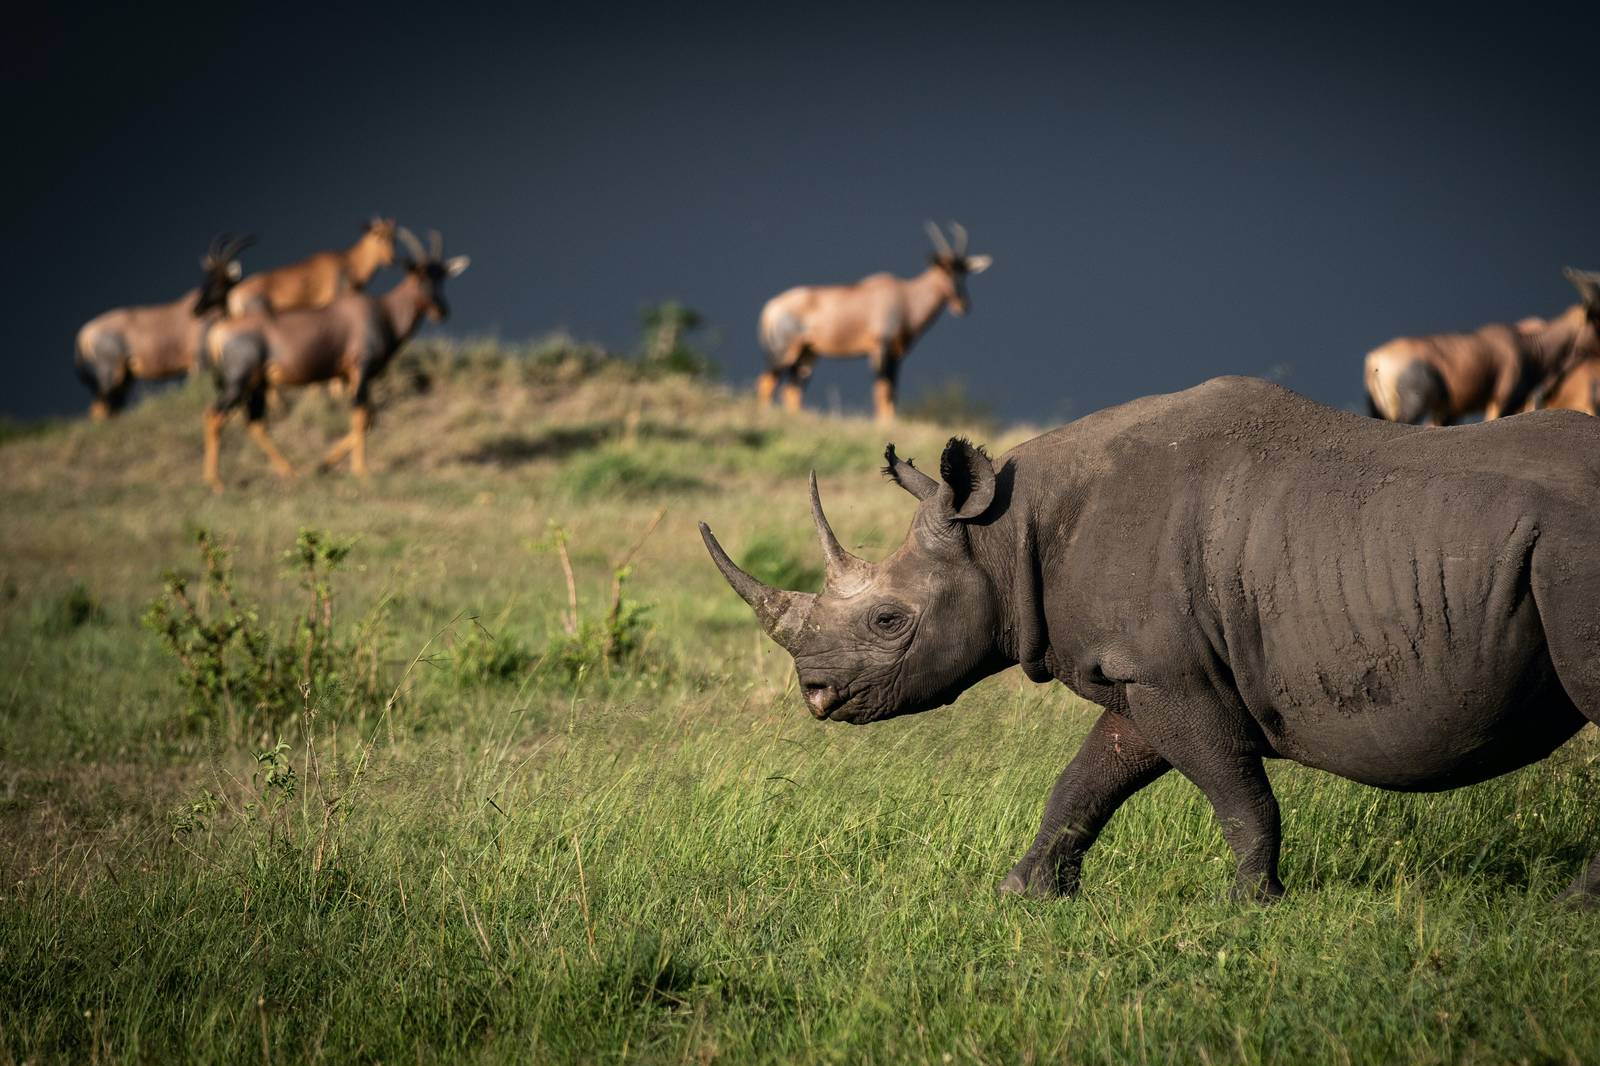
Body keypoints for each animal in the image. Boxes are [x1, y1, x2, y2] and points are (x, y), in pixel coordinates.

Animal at [75, 235, 256, 416]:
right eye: (207, 279)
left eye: (219, 280)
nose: (196, 310)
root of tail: (85, 332)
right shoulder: (200, 363)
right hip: (111, 376)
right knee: (99, 407)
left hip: (125, 379)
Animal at [196, 227, 467, 489]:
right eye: (418, 274)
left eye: (441, 275)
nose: (441, 311)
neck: (382, 311)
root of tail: (219, 331)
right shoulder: (361, 370)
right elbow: (361, 416)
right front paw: (361, 471)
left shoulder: (350, 377)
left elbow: (370, 418)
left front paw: (322, 465)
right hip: (237, 382)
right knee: (213, 416)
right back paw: (216, 482)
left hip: (257, 384)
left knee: (254, 423)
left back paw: (292, 472)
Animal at [758, 222, 985, 422]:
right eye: (944, 269)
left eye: (964, 271)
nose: (963, 306)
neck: (904, 296)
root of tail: (772, 307)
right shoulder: (880, 348)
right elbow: (882, 390)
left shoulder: (896, 355)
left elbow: (892, 391)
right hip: (783, 353)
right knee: (766, 384)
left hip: (807, 355)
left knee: (791, 391)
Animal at [1363, 267, 1600, 425]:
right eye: (1598, 316)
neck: (1529, 346)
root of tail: (1375, 357)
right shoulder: (1501, 400)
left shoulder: (1450, 410)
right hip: (1412, 405)